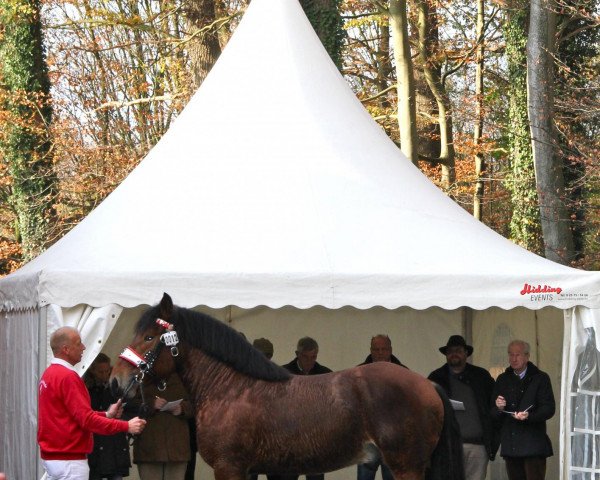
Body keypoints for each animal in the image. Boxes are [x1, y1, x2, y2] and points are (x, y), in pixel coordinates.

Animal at [110, 292, 464, 480]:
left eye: (149, 337)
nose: (116, 379)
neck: (230, 388)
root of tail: (429, 386)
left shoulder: (229, 467)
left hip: (406, 466)